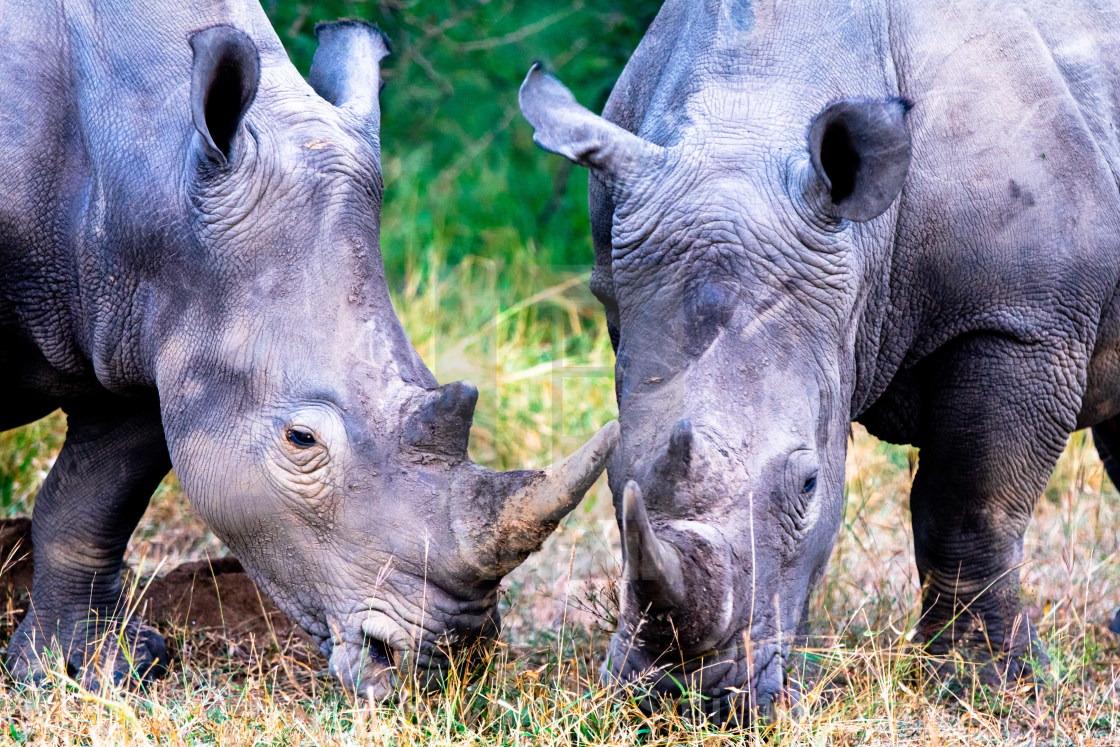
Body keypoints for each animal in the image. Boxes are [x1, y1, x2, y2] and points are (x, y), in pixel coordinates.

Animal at [0, 1, 618, 703]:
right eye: (301, 440)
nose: (441, 664)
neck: (158, 159)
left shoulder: (154, 326)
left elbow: (92, 500)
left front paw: (89, 672)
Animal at [524, 0, 1120, 725]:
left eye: (808, 484)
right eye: (610, 479)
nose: (681, 700)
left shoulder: (1023, 318)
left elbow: (969, 509)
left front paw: (984, 688)